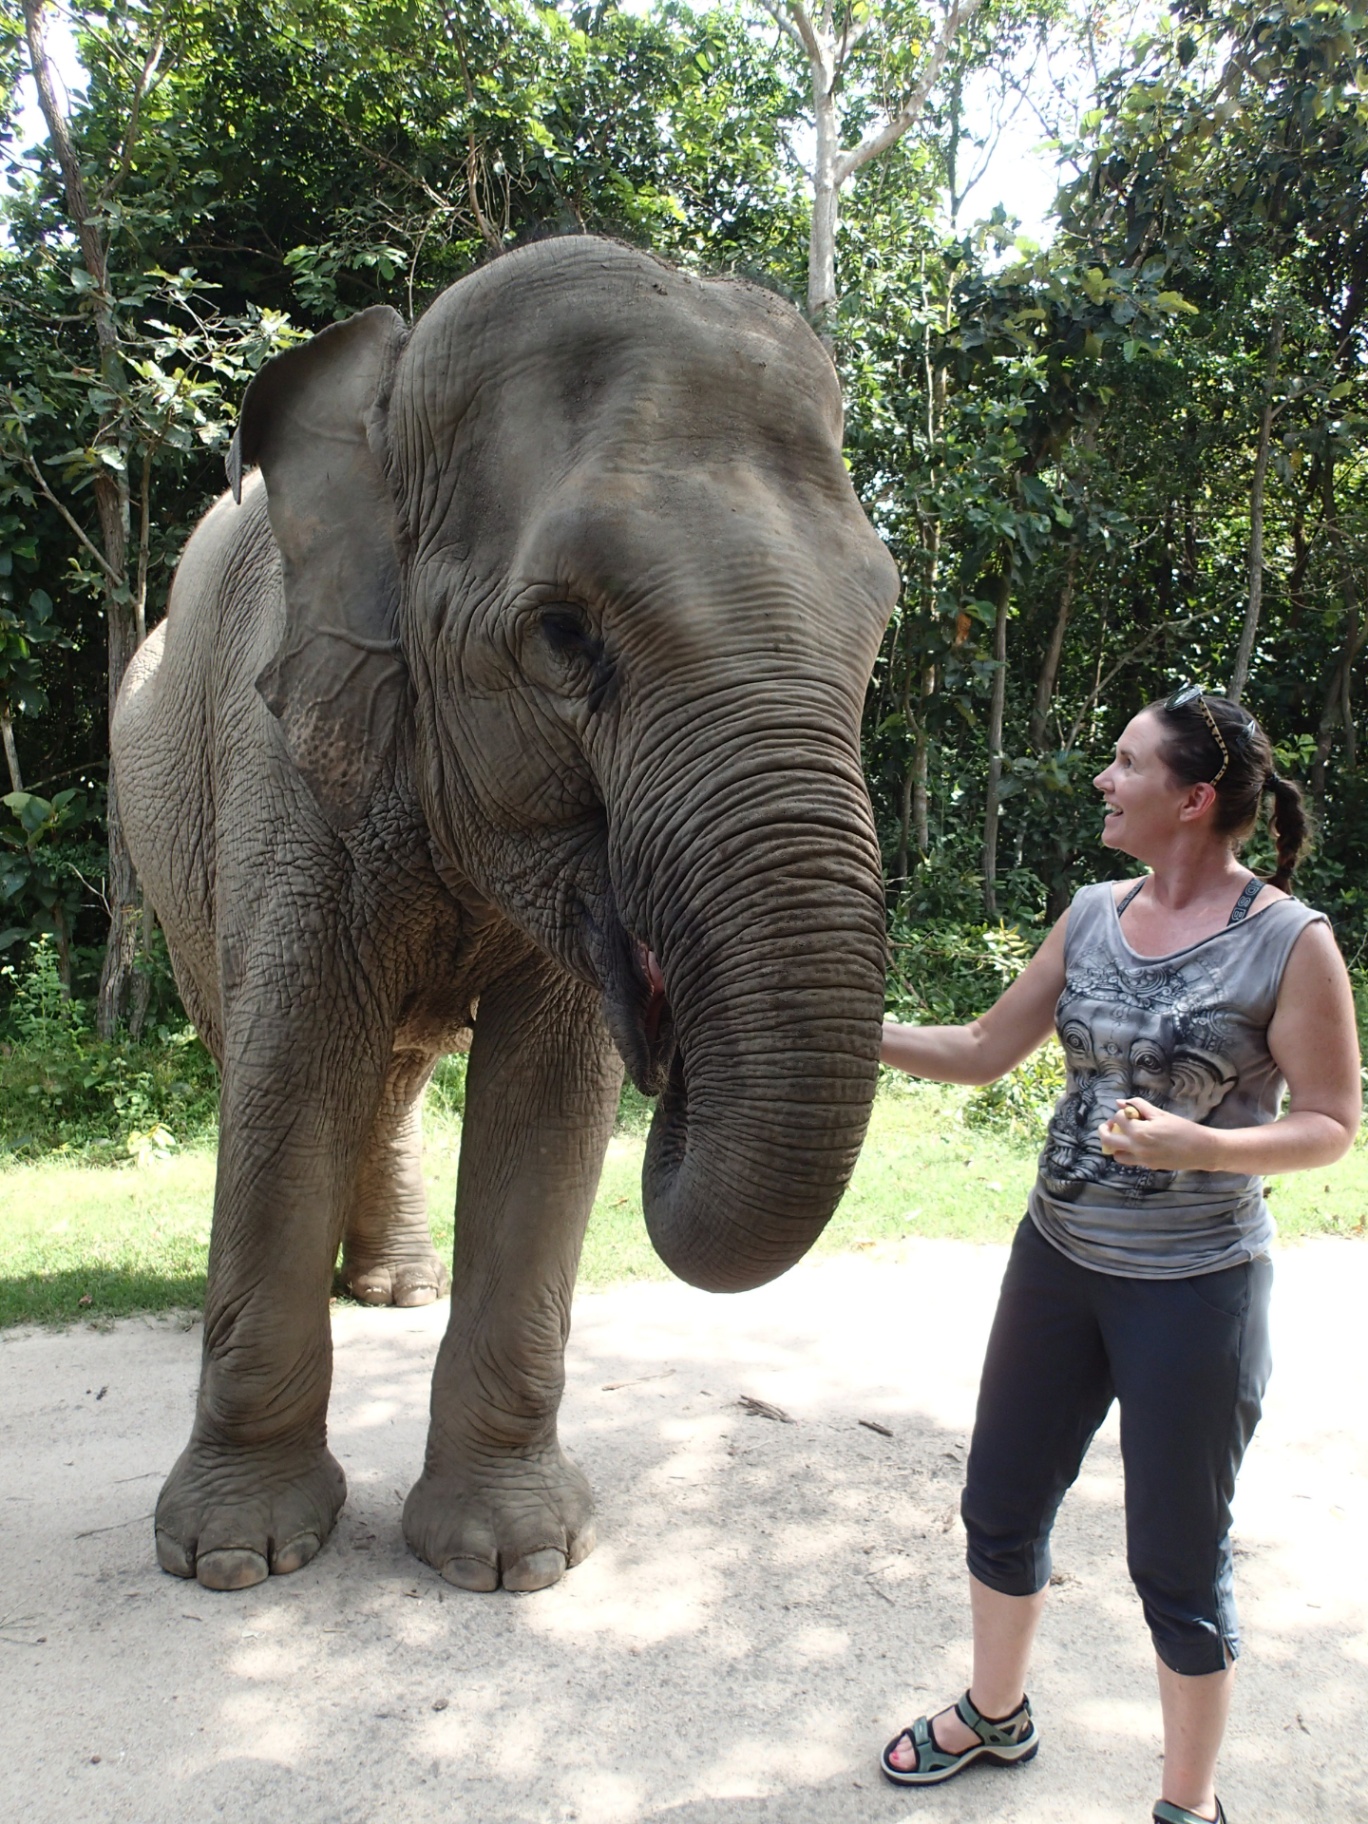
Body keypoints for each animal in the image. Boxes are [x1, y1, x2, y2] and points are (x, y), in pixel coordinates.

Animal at [111, 234, 899, 1595]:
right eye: (563, 634)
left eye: (882, 619)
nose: (671, 1042)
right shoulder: (290, 741)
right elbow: (289, 1069)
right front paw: (236, 1559)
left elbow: (552, 1099)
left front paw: (511, 1563)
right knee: (275, 1051)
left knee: (398, 1068)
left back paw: (395, 1290)